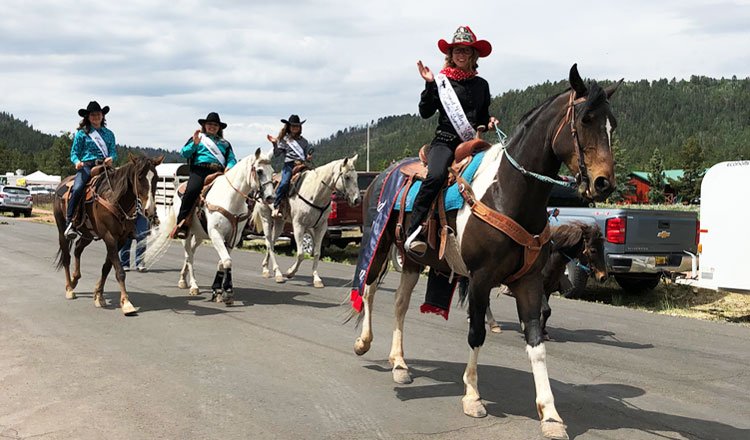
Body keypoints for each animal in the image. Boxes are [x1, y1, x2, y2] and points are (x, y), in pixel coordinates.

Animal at [53, 155, 164, 312]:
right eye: (140, 177)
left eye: (156, 178)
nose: (150, 210)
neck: (114, 198)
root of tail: (60, 185)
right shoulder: (109, 237)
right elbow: (119, 271)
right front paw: (126, 302)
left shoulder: (121, 239)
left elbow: (107, 267)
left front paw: (99, 296)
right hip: (61, 229)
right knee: (66, 257)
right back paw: (69, 288)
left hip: (88, 234)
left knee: (78, 249)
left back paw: (75, 279)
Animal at [147, 150, 276, 304]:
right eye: (259, 171)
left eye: (272, 171)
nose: (271, 197)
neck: (231, 198)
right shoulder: (216, 234)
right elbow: (227, 261)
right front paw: (226, 292)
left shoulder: (233, 238)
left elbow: (222, 262)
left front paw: (218, 290)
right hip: (186, 234)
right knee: (189, 256)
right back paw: (194, 286)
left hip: (199, 236)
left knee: (190, 253)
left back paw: (183, 279)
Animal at [352, 66, 624, 440]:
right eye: (585, 119)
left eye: (613, 125)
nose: (603, 183)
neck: (509, 192)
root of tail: (386, 173)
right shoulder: (480, 278)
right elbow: (476, 333)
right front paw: (472, 397)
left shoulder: (528, 282)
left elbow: (536, 342)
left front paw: (551, 415)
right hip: (376, 241)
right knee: (368, 290)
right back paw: (364, 342)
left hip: (413, 260)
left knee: (400, 305)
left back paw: (400, 364)